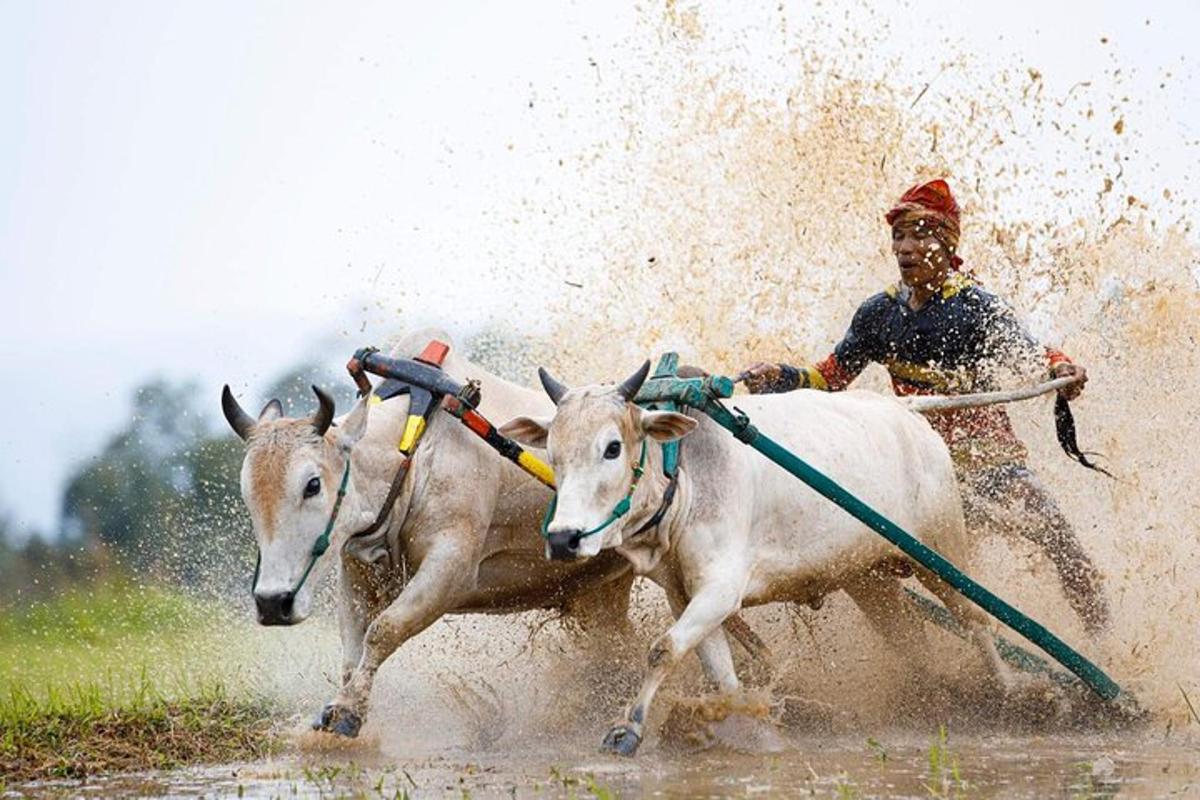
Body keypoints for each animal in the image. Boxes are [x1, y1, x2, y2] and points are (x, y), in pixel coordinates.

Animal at [501, 362, 1017, 758]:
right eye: (553, 452)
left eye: (612, 447)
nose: (563, 539)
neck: (682, 471)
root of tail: (906, 412)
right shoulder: (684, 595)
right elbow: (720, 677)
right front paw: (738, 726)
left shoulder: (720, 589)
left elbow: (662, 649)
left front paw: (627, 730)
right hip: (869, 579)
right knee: (911, 639)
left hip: (942, 551)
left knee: (978, 621)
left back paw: (1012, 694)